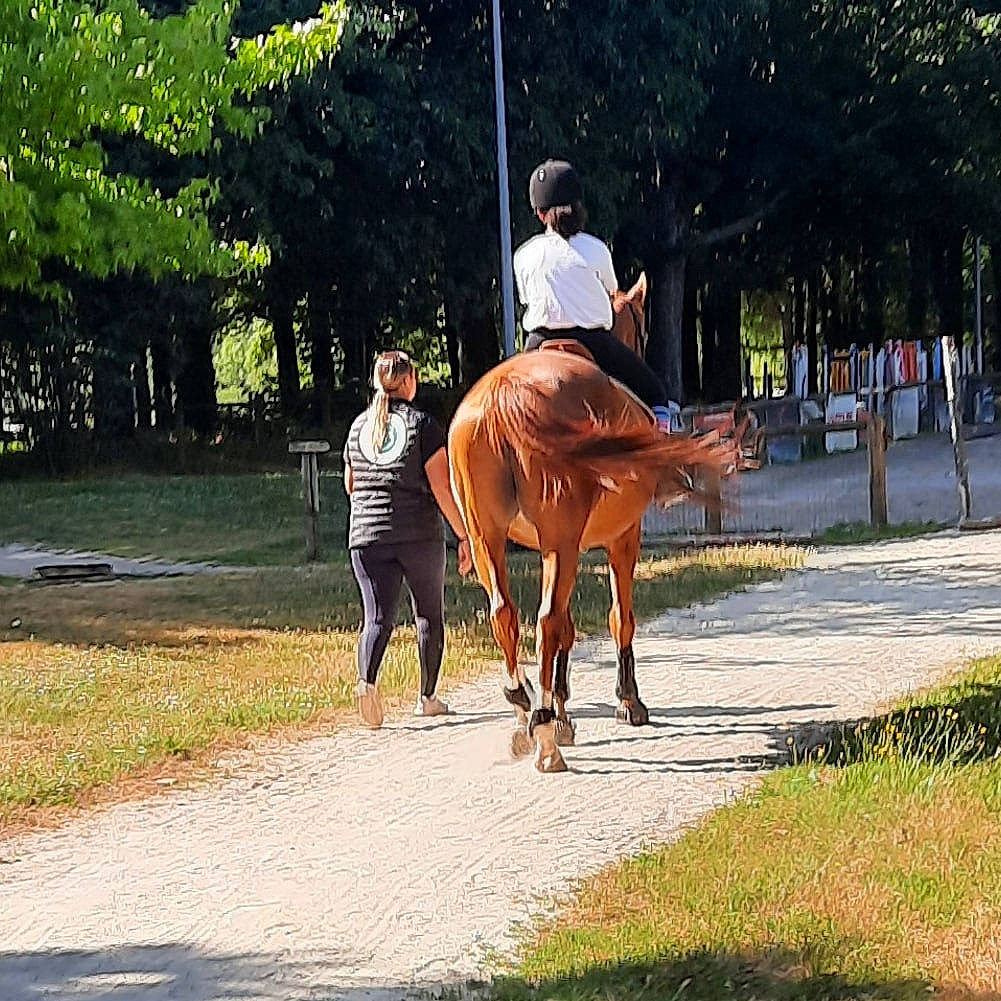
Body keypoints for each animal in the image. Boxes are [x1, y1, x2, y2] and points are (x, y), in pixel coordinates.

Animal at [447, 274, 736, 772]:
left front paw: (565, 713)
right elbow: (619, 617)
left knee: (507, 615)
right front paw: (627, 701)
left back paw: (524, 710)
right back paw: (544, 732)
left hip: (490, 541)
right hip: (559, 540)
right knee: (545, 621)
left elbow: (568, 626)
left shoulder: (568, 546)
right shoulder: (621, 538)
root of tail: (505, 395)